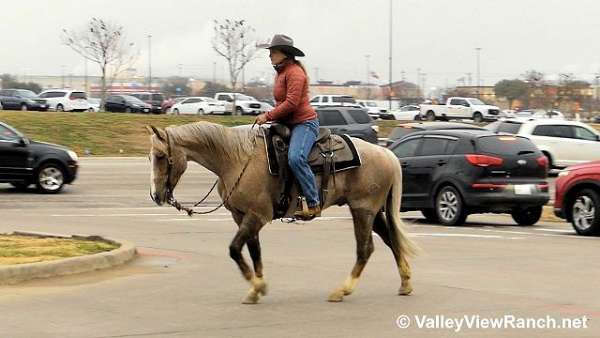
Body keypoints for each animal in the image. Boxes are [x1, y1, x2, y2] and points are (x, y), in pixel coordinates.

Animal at [146, 121, 418, 304]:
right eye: (150, 157)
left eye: (159, 156)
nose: (156, 196)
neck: (237, 159)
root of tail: (386, 153)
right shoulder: (242, 216)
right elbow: (254, 251)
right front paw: (256, 289)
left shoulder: (258, 215)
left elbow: (234, 249)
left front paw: (257, 286)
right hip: (372, 211)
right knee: (391, 240)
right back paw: (405, 284)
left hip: (362, 209)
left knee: (365, 249)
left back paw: (342, 290)